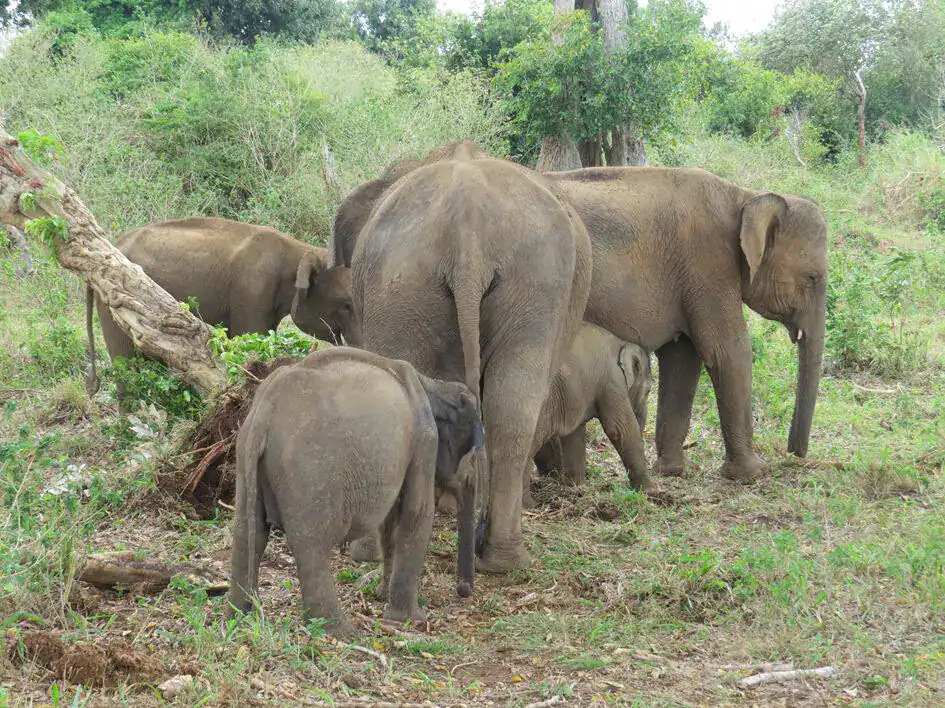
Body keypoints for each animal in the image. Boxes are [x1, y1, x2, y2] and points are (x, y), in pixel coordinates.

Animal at [86, 216, 362, 393]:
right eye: (347, 304)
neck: (299, 250)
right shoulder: (252, 291)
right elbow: (249, 340)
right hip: (112, 299)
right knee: (127, 364)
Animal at [227, 346, 484, 637]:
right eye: (474, 456)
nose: (464, 590)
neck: (432, 384)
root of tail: (264, 413)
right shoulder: (424, 439)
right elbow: (416, 512)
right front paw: (413, 618)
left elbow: (390, 521)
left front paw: (383, 595)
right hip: (309, 471)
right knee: (311, 543)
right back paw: (340, 632)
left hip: (245, 457)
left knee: (249, 532)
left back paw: (237, 619)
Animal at [333, 141, 592, 573]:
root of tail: (469, 230)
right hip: (530, 283)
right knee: (514, 403)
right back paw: (502, 559)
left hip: (410, 285)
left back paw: (374, 550)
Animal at [523, 324, 651, 508]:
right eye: (649, 391)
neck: (621, 342)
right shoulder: (612, 380)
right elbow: (619, 428)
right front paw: (650, 491)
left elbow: (574, 435)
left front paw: (575, 488)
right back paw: (529, 505)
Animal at [543, 167, 828, 481]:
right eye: (812, 278)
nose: (794, 453)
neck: (744, 196)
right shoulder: (708, 267)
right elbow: (729, 352)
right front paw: (752, 473)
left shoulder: (689, 281)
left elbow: (683, 359)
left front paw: (675, 471)